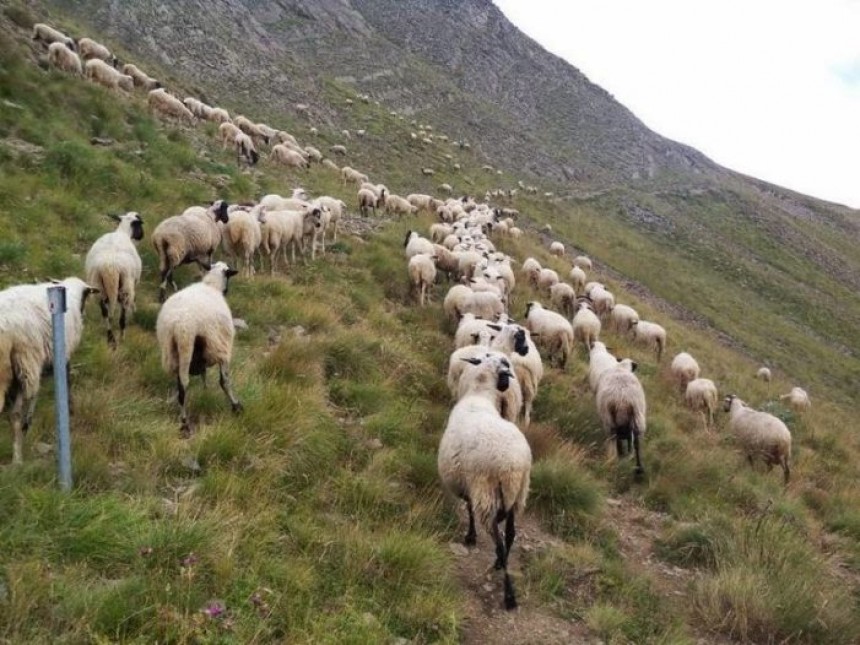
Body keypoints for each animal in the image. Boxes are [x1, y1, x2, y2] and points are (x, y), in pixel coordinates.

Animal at [85, 211, 144, 344]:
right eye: (140, 225)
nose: (141, 236)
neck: (122, 232)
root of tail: (110, 267)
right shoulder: (134, 282)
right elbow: (134, 300)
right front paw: (135, 310)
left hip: (99, 286)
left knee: (105, 313)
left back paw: (109, 335)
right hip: (125, 288)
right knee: (122, 317)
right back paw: (121, 337)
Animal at [157, 262, 242, 432]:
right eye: (229, 275)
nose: (227, 291)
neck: (212, 285)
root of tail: (177, 323)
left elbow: (203, 374)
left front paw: (205, 390)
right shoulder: (220, 347)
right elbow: (224, 381)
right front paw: (236, 406)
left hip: (171, 348)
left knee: (179, 382)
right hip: (186, 343)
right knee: (184, 384)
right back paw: (184, 421)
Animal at [436, 352, 532, 608]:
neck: (479, 395)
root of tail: (511, 467)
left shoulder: (468, 483)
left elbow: (468, 508)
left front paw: (470, 537)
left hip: (487, 492)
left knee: (498, 539)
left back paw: (509, 595)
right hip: (518, 495)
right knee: (510, 534)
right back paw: (500, 562)